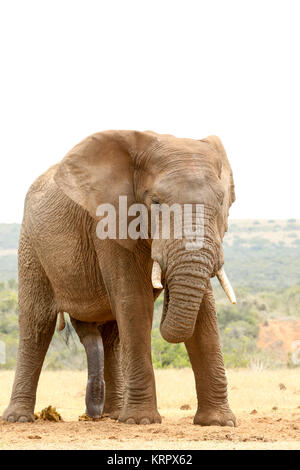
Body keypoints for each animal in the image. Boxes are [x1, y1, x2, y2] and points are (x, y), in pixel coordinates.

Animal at [2, 129, 237, 426]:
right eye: (155, 203)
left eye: (221, 203)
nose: (165, 285)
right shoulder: (108, 223)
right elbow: (134, 301)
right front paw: (141, 422)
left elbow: (205, 312)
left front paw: (218, 422)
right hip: (31, 245)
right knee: (37, 324)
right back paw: (18, 418)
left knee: (111, 334)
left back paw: (112, 415)